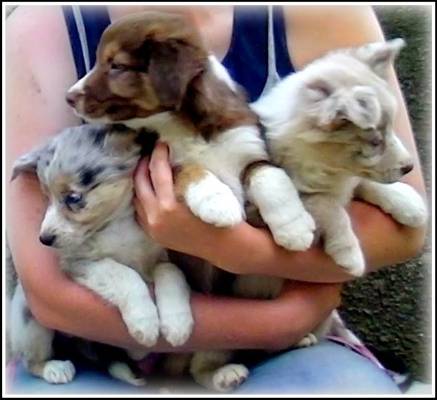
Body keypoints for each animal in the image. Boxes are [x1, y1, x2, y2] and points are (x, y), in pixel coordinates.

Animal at [8, 124, 192, 384]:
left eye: (73, 198)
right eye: (46, 197)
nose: (44, 239)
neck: (118, 223)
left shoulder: (160, 255)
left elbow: (171, 272)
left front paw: (177, 323)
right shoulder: (79, 262)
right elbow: (124, 274)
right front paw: (144, 321)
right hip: (29, 317)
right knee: (30, 360)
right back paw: (53, 368)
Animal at [65, 10, 314, 255]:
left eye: (117, 66)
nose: (69, 97)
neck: (184, 124)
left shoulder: (249, 146)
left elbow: (269, 176)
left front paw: (295, 228)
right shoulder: (154, 161)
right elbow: (190, 169)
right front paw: (219, 203)